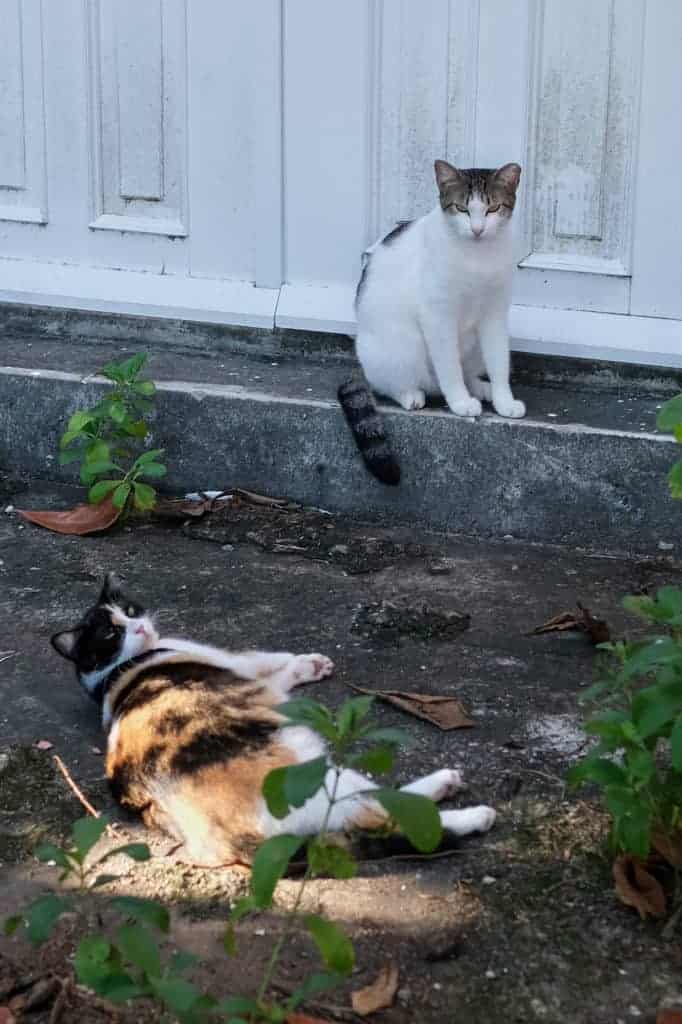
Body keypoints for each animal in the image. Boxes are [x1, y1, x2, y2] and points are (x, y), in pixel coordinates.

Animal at [49, 577, 493, 864]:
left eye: (129, 610)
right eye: (111, 633)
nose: (140, 626)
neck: (115, 672)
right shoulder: (242, 669)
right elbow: (272, 663)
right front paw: (310, 664)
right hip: (315, 766)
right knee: (379, 812)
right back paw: (467, 808)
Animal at [339, 157, 524, 485]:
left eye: (492, 208)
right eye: (462, 208)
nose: (478, 230)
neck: (477, 258)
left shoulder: (495, 315)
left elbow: (500, 362)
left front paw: (504, 400)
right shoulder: (438, 316)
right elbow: (448, 367)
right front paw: (460, 403)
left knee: (468, 370)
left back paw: (481, 388)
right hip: (401, 345)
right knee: (390, 382)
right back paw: (411, 395)